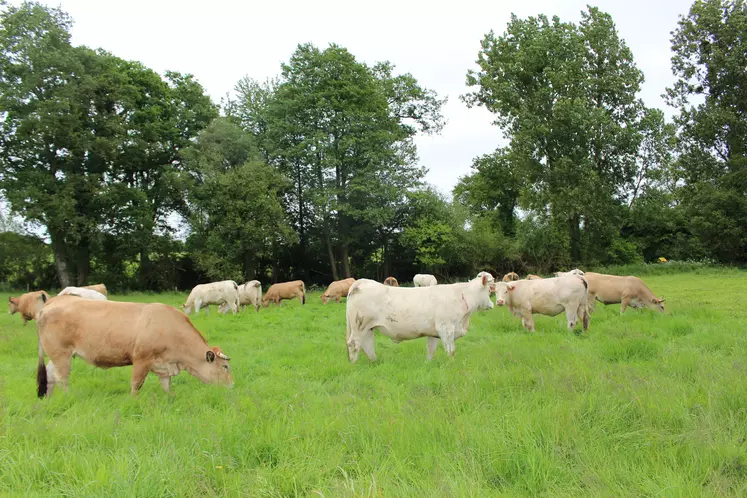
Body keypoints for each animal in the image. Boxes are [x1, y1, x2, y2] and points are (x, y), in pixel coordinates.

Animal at [34, 296, 234, 396]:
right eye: (225, 366)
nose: (232, 385)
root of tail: (54, 301)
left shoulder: (164, 366)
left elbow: (167, 386)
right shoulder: (141, 360)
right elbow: (136, 384)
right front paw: (134, 400)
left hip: (56, 355)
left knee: (50, 375)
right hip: (61, 354)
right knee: (61, 378)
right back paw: (68, 396)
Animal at [344, 274, 496, 364]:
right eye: (489, 291)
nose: (492, 305)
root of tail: (362, 282)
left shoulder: (434, 333)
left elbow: (431, 349)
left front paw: (428, 364)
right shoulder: (446, 328)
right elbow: (451, 350)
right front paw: (452, 364)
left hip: (368, 328)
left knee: (367, 344)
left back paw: (374, 361)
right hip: (359, 326)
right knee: (354, 344)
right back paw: (353, 363)